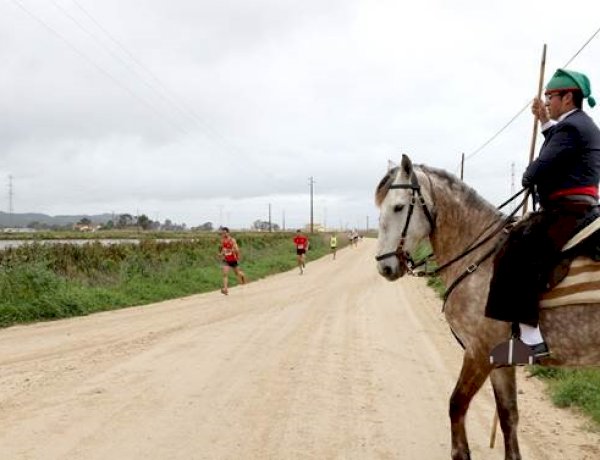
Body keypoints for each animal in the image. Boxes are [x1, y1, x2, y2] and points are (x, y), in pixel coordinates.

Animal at [376, 155, 600, 460]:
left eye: (398, 207)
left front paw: (461, 453)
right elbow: (508, 417)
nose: (384, 267)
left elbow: (457, 404)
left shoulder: (478, 352)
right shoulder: (499, 361)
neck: (479, 256)